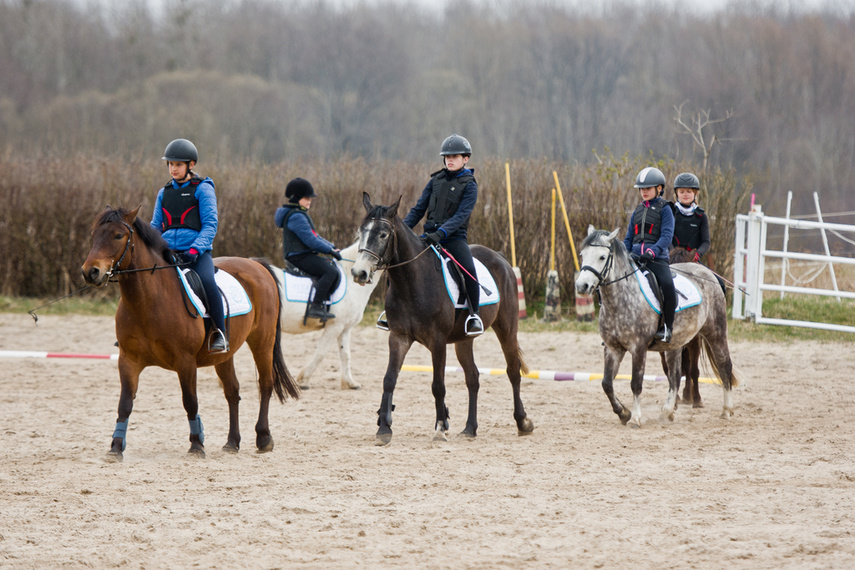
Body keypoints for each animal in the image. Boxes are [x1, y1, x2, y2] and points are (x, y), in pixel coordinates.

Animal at [81, 206, 300, 460]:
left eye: (118, 235)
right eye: (93, 235)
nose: (90, 272)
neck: (149, 300)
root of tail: (255, 264)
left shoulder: (185, 361)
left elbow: (190, 401)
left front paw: (197, 445)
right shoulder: (128, 360)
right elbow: (124, 403)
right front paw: (116, 447)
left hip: (262, 340)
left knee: (265, 383)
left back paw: (263, 437)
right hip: (224, 354)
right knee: (232, 391)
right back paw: (231, 442)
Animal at [270, 240, 384, 390]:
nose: (361, 274)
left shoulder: (345, 328)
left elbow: (346, 355)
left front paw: (350, 383)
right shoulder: (335, 326)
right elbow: (321, 353)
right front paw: (303, 380)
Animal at [572, 224, 740, 424]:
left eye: (602, 257)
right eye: (582, 254)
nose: (581, 286)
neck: (621, 300)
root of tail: (709, 274)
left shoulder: (638, 348)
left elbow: (636, 383)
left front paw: (635, 418)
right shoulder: (613, 348)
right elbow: (606, 383)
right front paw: (623, 413)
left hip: (715, 332)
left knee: (724, 366)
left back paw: (727, 410)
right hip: (675, 343)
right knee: (674, 376)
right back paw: (667, 411)